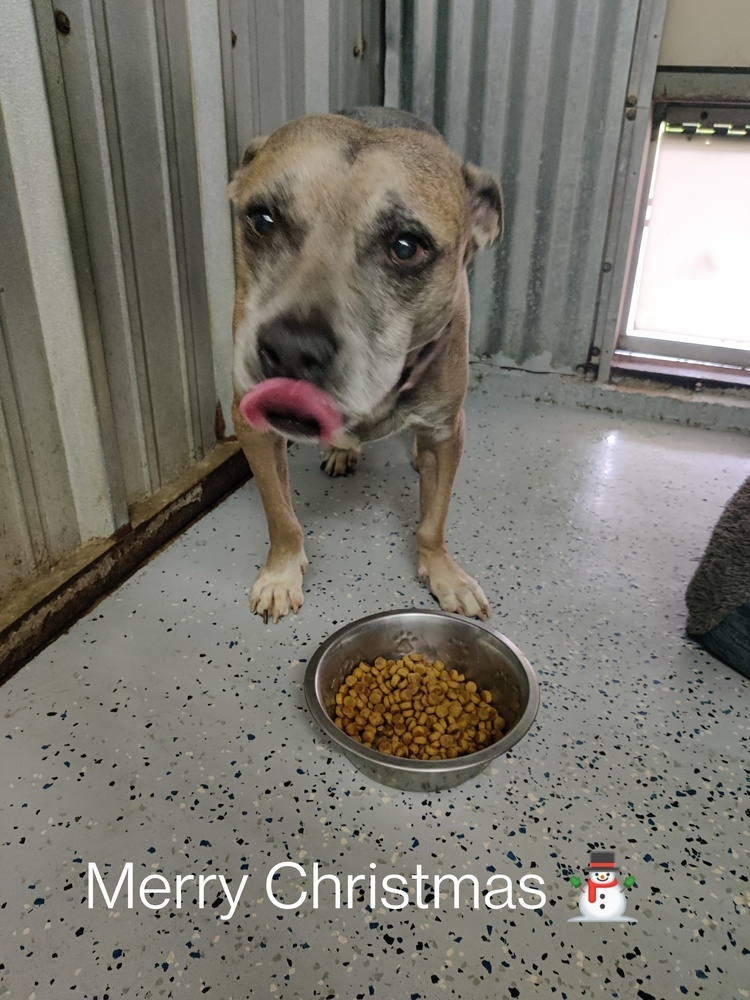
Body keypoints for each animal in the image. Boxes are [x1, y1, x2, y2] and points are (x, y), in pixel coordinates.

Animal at [226, 105, 502, 620]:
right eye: (263, 220)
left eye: (406, 247)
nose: (292, 347)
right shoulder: (251, 425)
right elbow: (281, 516)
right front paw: (281, 574)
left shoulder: (445, 429)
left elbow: (433, 523)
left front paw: (444, 574)